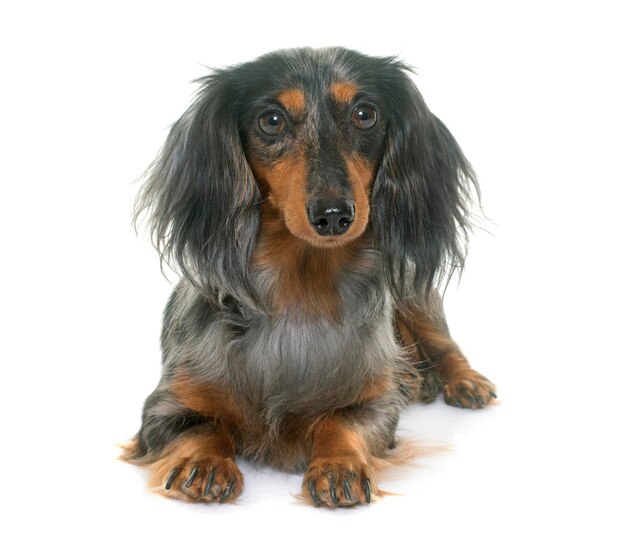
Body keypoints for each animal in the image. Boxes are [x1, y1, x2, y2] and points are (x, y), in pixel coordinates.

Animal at [120, 46, 492, 506]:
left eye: (365, 114)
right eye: (272, 120)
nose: (333, 215)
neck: (302, 288)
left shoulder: (375, 404)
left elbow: (342, 422)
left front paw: (338, 466)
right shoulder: (164, 405)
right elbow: (201, 425)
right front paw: (203, 463)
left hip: (416, 296)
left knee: (445, 346)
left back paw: (465, 382)